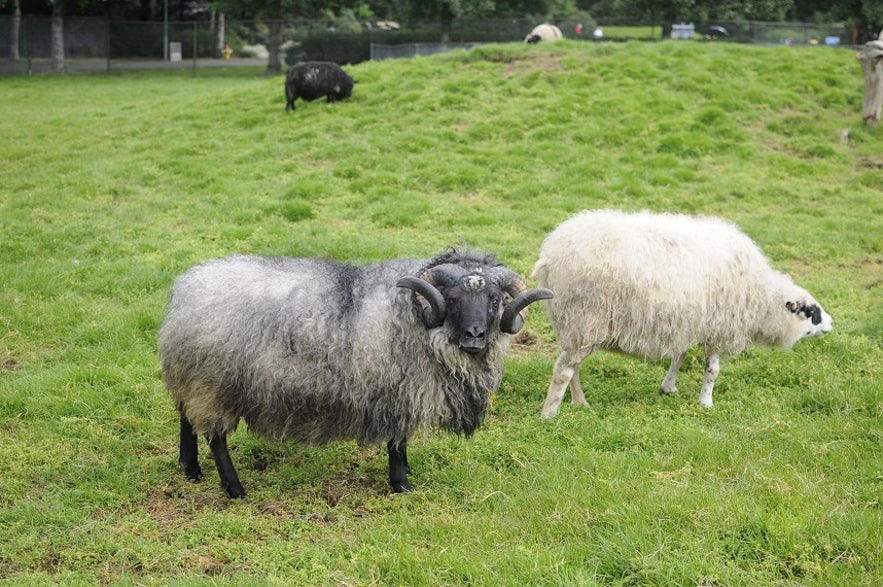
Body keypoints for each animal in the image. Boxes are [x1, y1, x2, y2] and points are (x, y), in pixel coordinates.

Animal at [155, 248, 548, 496]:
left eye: (495, 301)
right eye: (452, 300)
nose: (475, 337)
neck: (415, 316)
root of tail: (184, 291)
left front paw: (403, 478)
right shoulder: (398, 390)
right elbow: (398, 442)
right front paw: (402, 485)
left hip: (192, 379)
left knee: (186, 418)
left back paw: (190, 469)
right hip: (212, 384)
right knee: (216, 438)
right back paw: (235, 489)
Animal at [532, 209, 836, 416]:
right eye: (812, 312)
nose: (832, 324)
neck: (762, 299)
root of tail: (551, 252)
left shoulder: (688, 321)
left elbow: (680, 354)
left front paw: (669, 387)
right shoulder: (718, 327)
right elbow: (712, 370)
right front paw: (707, 403)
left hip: (575, 324)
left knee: (572, 367)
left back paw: (580, 402)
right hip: (585, 315)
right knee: (563, 370)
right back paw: (549, 414)